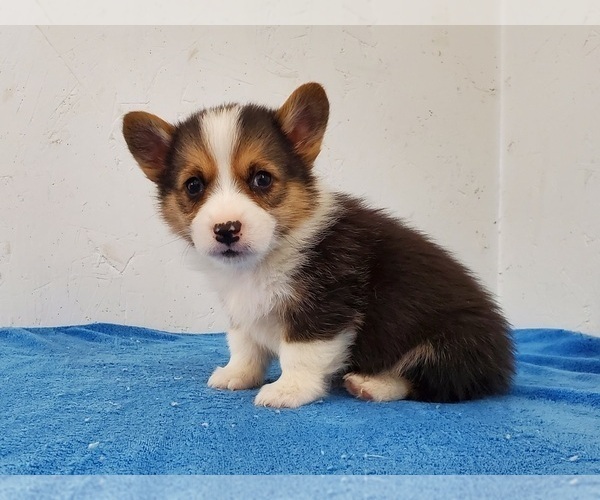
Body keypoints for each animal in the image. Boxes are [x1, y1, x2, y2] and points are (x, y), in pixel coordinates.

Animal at [123, 83, 516, 406]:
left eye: (262, 179)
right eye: (193, 186)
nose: (226, 229)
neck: (264, 259)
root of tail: (503, 359)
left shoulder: (324, 306)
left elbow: (301, 353)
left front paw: (288, 390)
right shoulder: (243, 312)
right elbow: (245, 345)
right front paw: (237, 375)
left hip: (451, 343)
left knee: (430, 381)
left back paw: (372, 384)